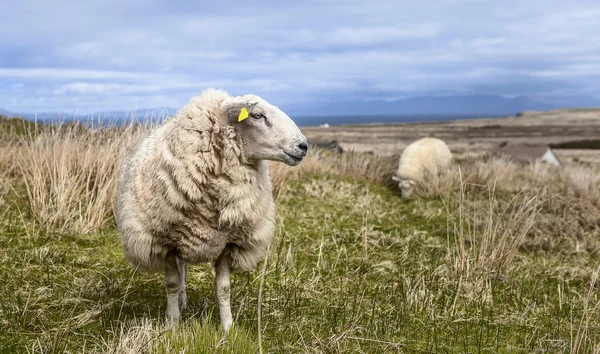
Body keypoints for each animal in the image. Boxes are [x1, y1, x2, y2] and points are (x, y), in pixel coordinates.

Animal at [113, 88, 310, 330]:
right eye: (257, 115)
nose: (303, 146)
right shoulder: (163, 241)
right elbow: (171, 284)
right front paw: (172, 323)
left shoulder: (229, 242)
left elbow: (223, 288)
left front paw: (228, 327)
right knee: (180, 271)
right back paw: (181, 303)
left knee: (183, 266)